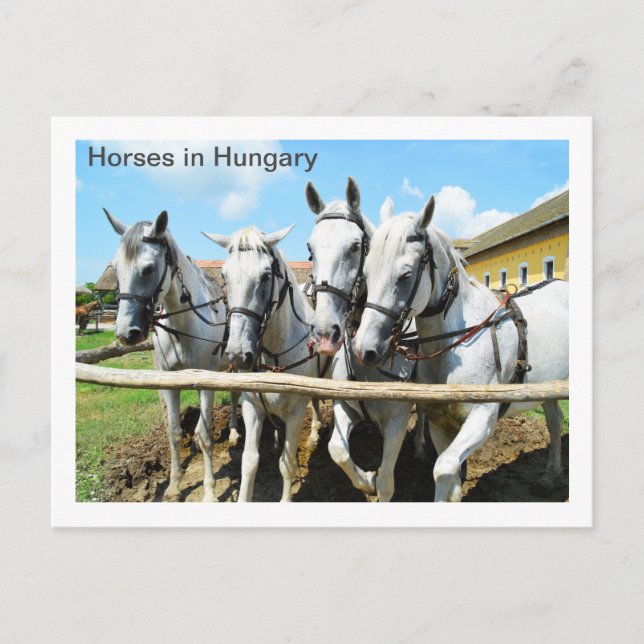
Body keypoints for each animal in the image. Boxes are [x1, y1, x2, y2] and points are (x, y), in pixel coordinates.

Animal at [104, 209, 240, 502]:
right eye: (116, 268)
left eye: (148, 269)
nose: (126, 332)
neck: (184, 326)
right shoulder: (169, 381)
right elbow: (174, 432)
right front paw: (174, 486)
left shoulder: (206, 383)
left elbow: (204, 435)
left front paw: (210, 491)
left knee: (237, 394)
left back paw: (235, 433)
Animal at [203, 225, 319, 502]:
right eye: (223, 276)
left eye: (266, 276)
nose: (237, 353)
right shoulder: (252, 408)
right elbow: (249, 462)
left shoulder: (296, 413)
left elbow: (287, 465)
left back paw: (314, 435)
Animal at [304, 177, 428, 502]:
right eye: (310, 248)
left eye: (355, 246)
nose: (325, 333)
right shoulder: (344, 406)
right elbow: (338, 451)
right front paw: (365, 479)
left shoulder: (397, 420)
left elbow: (386, 481)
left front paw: (376, 480)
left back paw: (420, 447)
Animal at [353, 196, 569, 502]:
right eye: (367, 273)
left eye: (405, 275)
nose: (365, 348)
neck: (453, 348)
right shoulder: (439, 422)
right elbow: (449, 480)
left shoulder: (483, 418)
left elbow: (443, 468)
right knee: (554, 420)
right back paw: (549, 477)